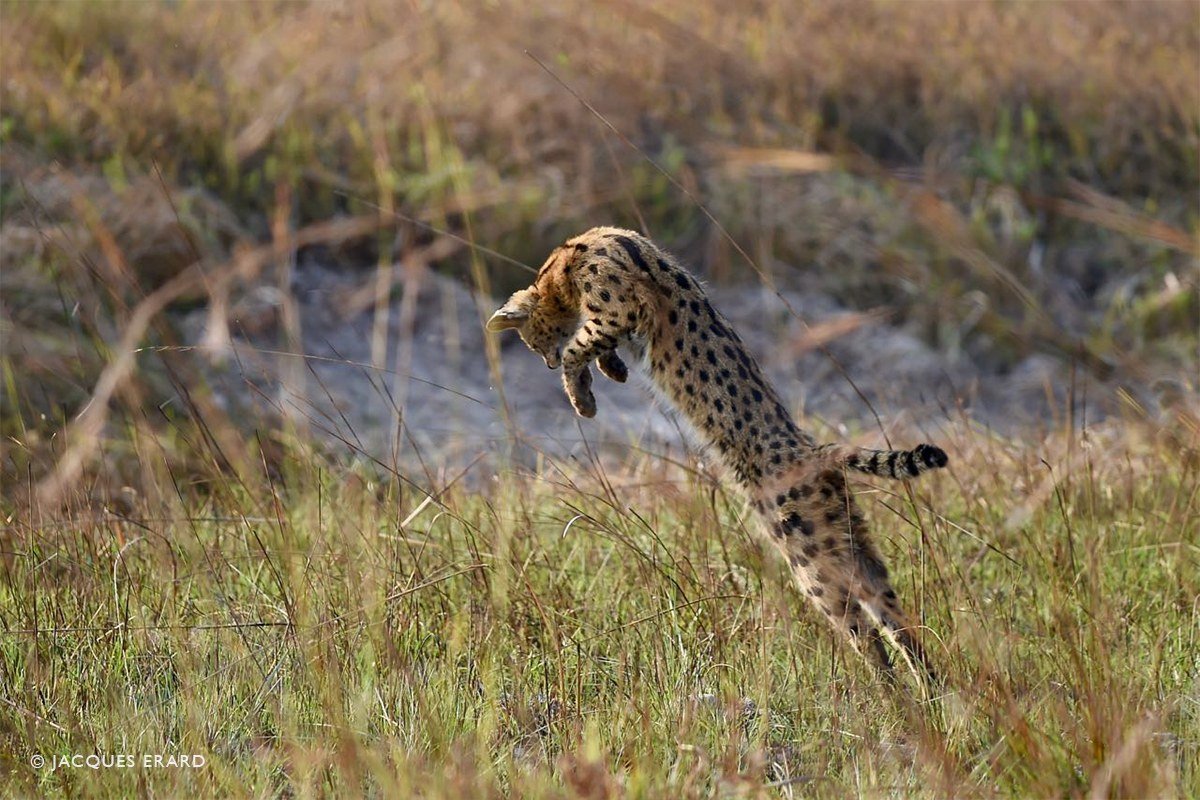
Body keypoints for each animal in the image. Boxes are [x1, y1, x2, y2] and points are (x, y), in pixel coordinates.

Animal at [487, 227, 949, 687]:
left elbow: (578, 348)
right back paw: (931, 690)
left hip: (808, 554)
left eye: (533, 343)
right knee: (896, 618)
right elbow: (592, 348)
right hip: (848, 539)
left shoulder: (619, 308)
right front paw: (610, 371)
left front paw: (582, 397)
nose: (544, 364)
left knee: (864, 633)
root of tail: (815, 449)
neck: (567, 261)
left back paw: (892, 695)